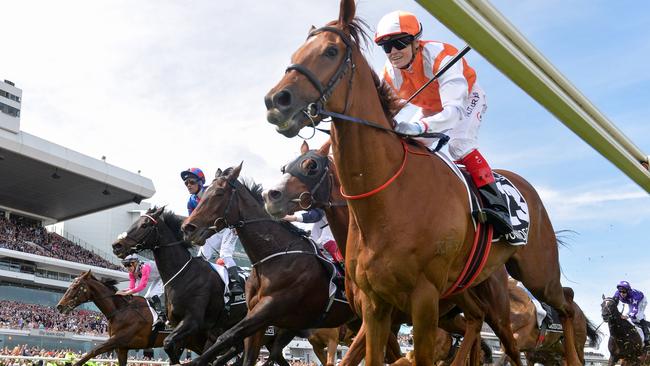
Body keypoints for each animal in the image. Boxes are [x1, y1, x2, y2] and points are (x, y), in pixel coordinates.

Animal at [57, 270, 205, 364]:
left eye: (75, 287)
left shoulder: (118, 340)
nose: (59, 306)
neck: (120, 310)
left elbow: (93, 351)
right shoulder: (121, 348)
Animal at [111, 207, 246, 364]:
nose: (117, 245)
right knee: (235, 347)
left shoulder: (192, 321)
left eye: (144, 225)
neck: (184, 274)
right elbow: (172, 349)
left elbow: (168, 343)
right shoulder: (178, 323)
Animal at [181, 167, 354, 366]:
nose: (187, 228)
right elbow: (244, 353)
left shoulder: (269, 308)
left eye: (219, 193)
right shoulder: (257, 316)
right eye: (203, 196)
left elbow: (226, 336)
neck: (271, 257)